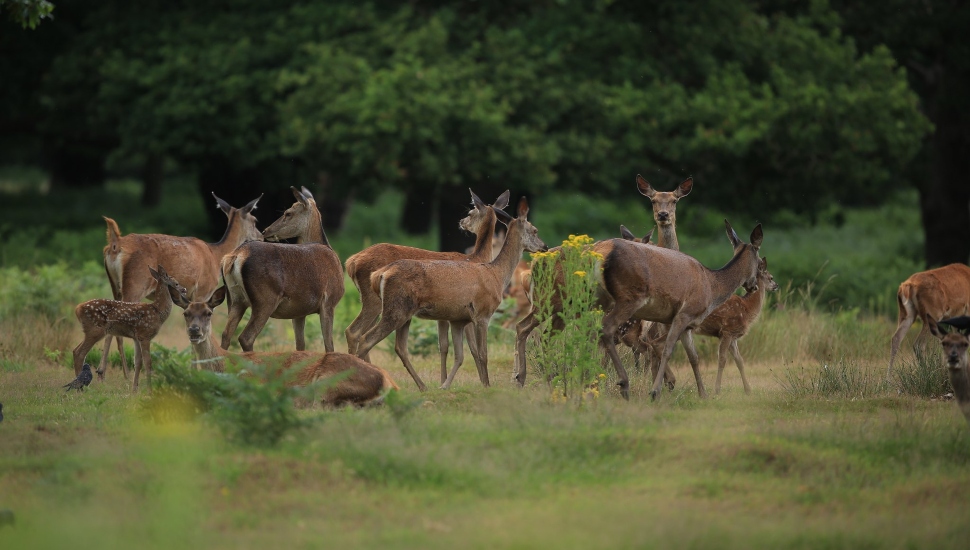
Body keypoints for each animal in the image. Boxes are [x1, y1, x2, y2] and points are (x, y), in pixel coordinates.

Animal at [99, 193, 262, 380]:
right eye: (255, 220)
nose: (262, 236)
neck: (215, 255)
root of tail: (115, 245)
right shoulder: (202, 290)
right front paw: (194, 370)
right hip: (135, 285)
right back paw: (118, 374)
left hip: (115, 287)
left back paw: (106, 372)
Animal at [171, 286, 398, 408]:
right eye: (186, 313)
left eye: (208, 313)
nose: (194, 331)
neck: (224, 364)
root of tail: (389, 384)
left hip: (327, 384)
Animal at [220, 186, 344, 353]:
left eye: (288, 213)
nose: (265, 231)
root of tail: (234, 256)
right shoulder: (329, 301)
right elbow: (329, 346)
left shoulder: (299, 311)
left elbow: (300, 346)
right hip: (265, 299)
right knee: (246, 337)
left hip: (234, 299)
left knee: (225, 335)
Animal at [355, 197, 547, 391]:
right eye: (535, 230)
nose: (544, 246)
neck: (496, 275)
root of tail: (380, 274)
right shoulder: (483, 313)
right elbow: (482, 353)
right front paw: (486, 385)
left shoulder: (458, 319)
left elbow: (459, 354)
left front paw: (445, 385)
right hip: (395, 309)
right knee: (365, 338)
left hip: (404, 313)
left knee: (399, 347)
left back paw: (422, 386)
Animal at [597, 220, 763, 400]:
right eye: (760, 263)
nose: (753, 286)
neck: (712, 286)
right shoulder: (684, 314)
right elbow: (667, 349)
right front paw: (656, 391)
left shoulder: (688, 324)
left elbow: (694, 357)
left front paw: (703, 394)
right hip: (628, 297)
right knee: (606, 329)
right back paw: (623, 383)